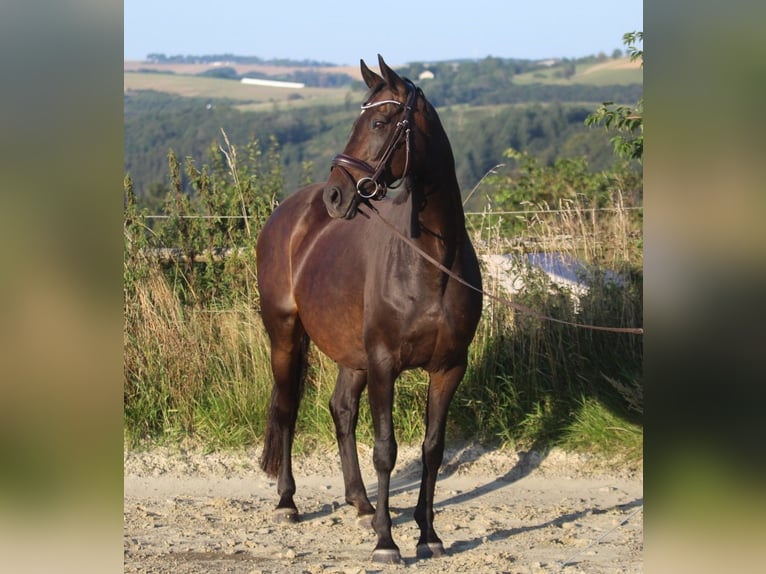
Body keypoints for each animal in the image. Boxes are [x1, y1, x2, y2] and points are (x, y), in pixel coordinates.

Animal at [258, 54, 486, 564]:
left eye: (380, 122)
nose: (336, 196)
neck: (431, 262)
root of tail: (288, 213)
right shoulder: (385, 363)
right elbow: (386, 449)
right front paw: (387, 542)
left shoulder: (449, 368)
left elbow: (433, 449)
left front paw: (428, 534)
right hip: (286, 335)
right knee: (286, 408)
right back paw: (287, 502)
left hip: (352, 354)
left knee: (341, 409)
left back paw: (360, 504)